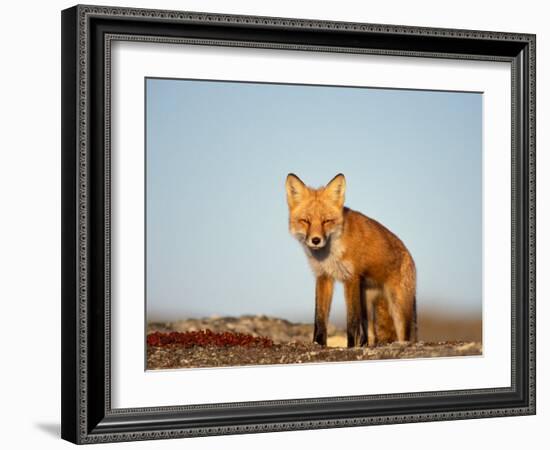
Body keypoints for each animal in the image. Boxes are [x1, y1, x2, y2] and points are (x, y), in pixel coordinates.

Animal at [288, 173, 418, 348]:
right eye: (305, 221)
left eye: (326, 221)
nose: (316, 240)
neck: (330, 254)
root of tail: (408, 254)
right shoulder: (323, 277)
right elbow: (319, 319)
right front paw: (318, 344)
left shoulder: (351, 277)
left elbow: (351, 321)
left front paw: (350, 346)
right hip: (367, 307)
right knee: (367, 334)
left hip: (399, 308)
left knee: (404, 335)